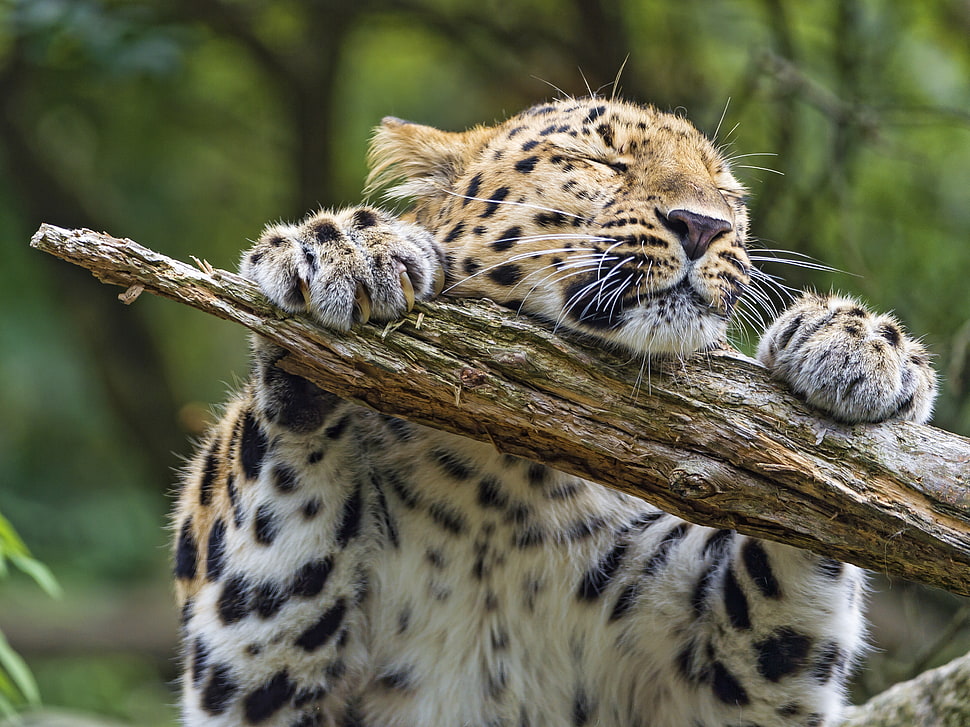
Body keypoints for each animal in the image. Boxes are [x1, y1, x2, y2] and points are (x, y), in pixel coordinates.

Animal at [172, 96, 938, 727]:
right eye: (600, 161)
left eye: (728, 194)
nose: (703, 225)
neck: (505, 483)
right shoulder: (252, 678)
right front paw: (340, 250)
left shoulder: (718, 688)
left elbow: (800, 533)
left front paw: (859, 347)